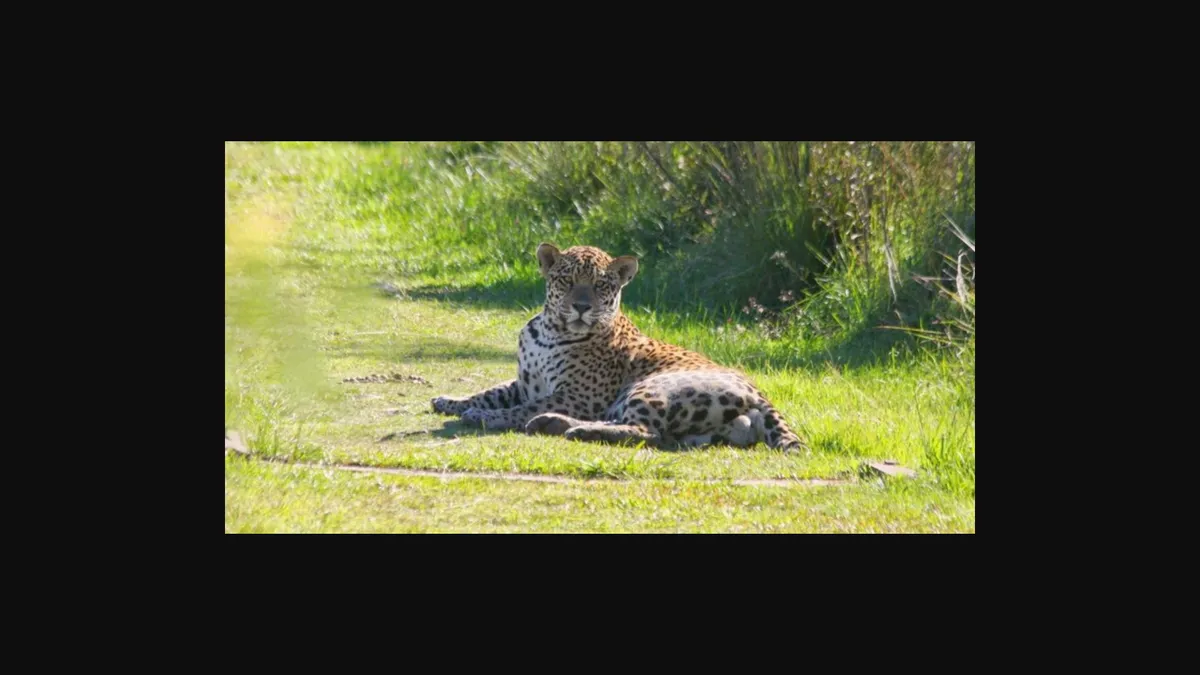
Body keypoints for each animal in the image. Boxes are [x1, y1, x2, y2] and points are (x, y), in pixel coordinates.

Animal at [429, 243, 807, 452]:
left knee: (648, 433)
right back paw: (552, 424)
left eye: (601, 285)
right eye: (567, 281)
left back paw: (568, 427)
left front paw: (485, 416)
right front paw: (451, 401)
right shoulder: (525, 383)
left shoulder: (578, 396)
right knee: (651, 433)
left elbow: (519, 408)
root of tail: (760, 395)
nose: (582, 307)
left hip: (651, 388)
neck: (550, 330)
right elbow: (491, 391)